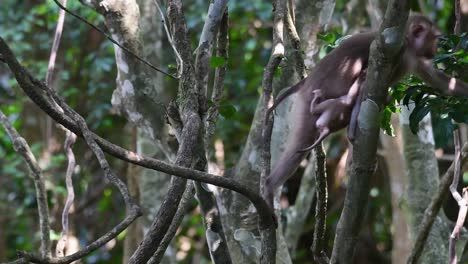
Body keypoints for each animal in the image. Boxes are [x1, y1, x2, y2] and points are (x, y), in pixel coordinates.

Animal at [264, 14, 468, 208]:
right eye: (434, 38)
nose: (435, 51)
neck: (409, 45)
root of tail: (305, 83)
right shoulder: (398, 51)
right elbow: (366, 79)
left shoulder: (416, 57)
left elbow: (440, 82)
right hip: (308, 102)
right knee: (303, 141)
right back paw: (268, 189)